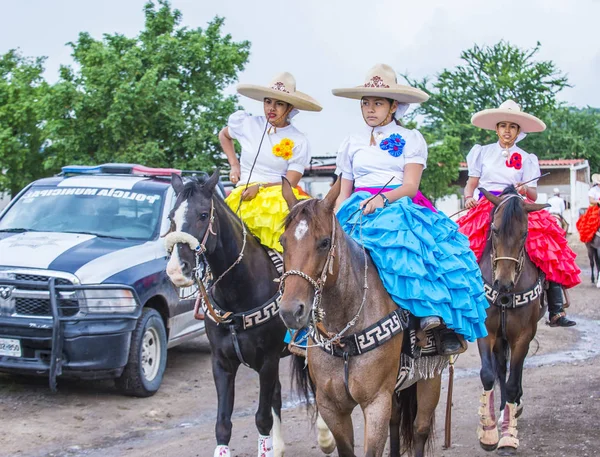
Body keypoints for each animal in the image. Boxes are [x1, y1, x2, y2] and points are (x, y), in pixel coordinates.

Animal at [165, 172, 324, 456]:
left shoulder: (267, 361)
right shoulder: (221, 362)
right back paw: (279, 446)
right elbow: (223, 424)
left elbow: (262, 418)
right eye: (172, 216)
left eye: (203, 214)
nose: (176, 270)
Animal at [278, 178, 442, 456]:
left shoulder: (376, 402)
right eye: (283, 241)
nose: (291, 310)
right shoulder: (331, 406)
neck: (344, 336)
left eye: (324, 242)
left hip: (432, 376)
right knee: (396, 420)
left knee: (420, 428)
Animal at [476, 186, 552, 456]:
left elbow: (511, 381)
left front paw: (508, 437)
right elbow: (489, 374)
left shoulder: (523, 336)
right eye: (495, 229)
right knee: (500, 368)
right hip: (501, 337)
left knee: (514, 374)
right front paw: (488, 433)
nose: (504, 283)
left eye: (525, 233)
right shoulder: (487, 333)